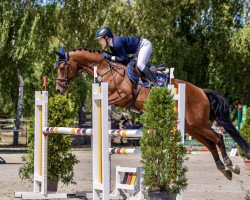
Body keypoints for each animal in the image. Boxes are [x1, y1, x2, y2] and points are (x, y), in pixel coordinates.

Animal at [54, 46, 250, 180]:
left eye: (62, 67)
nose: (59, 89)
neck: (106, 69)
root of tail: (201, 91)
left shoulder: (123, 96)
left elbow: (109, 104)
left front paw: (120, 117)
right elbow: (106, 105)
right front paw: (118, 118)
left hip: (198, 123)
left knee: (218, 137)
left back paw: (230, 165)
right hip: (191, 128)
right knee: (210, 143)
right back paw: (225, 170)